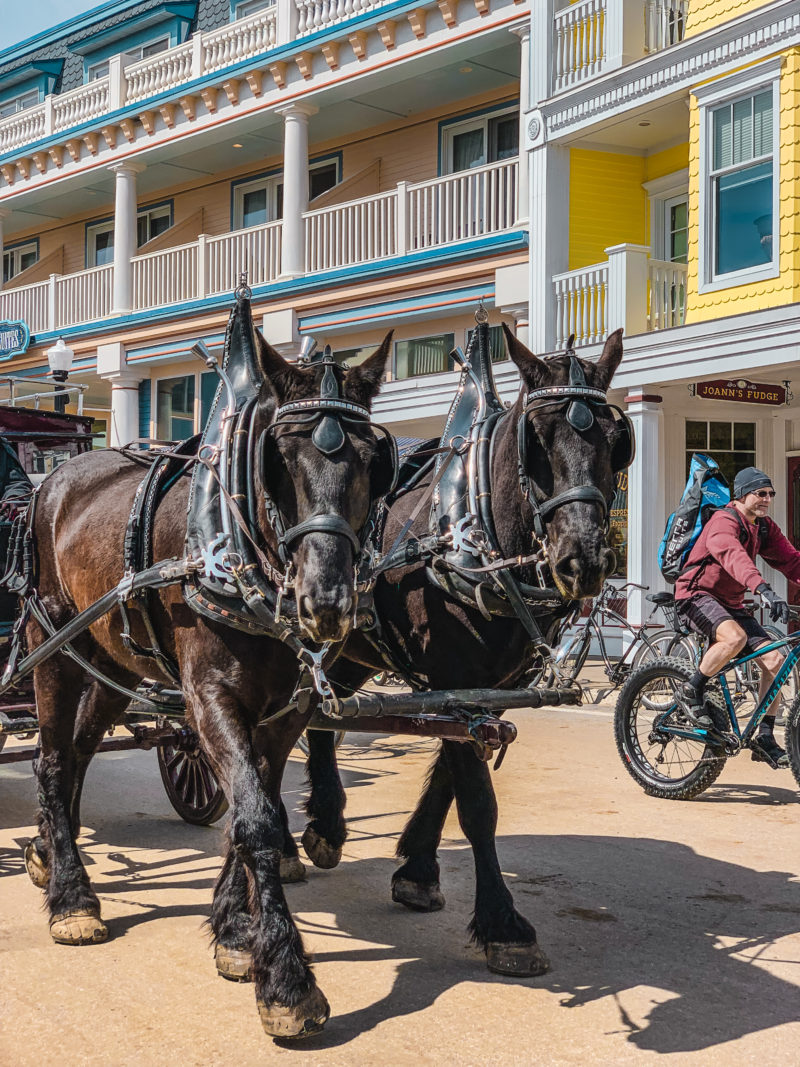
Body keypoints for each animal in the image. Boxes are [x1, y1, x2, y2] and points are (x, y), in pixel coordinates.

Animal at [27, 322, 394, 1032]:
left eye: (373, 457)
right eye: (282, 456)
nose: (327, 601)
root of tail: (52, 480)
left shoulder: (287, 708)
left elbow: (261, 803)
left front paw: (234, 932)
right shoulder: (209, 697)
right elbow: (253, 815)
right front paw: (285, 978)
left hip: (109, 664)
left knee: (78, 752)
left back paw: (49, 854)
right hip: (50, 645)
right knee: (53, 760)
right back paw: (71, 896)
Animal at [298, 328, 631, 977]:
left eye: (616, 441)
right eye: (537, 441)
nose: (582, 560)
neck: (474, 532)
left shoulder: (488, 688)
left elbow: (451, 776)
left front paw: (418, 869)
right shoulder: (452, 677)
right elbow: (477, 801)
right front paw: (504, 923)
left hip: (350, 652)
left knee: (320, 717)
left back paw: (322, 822)